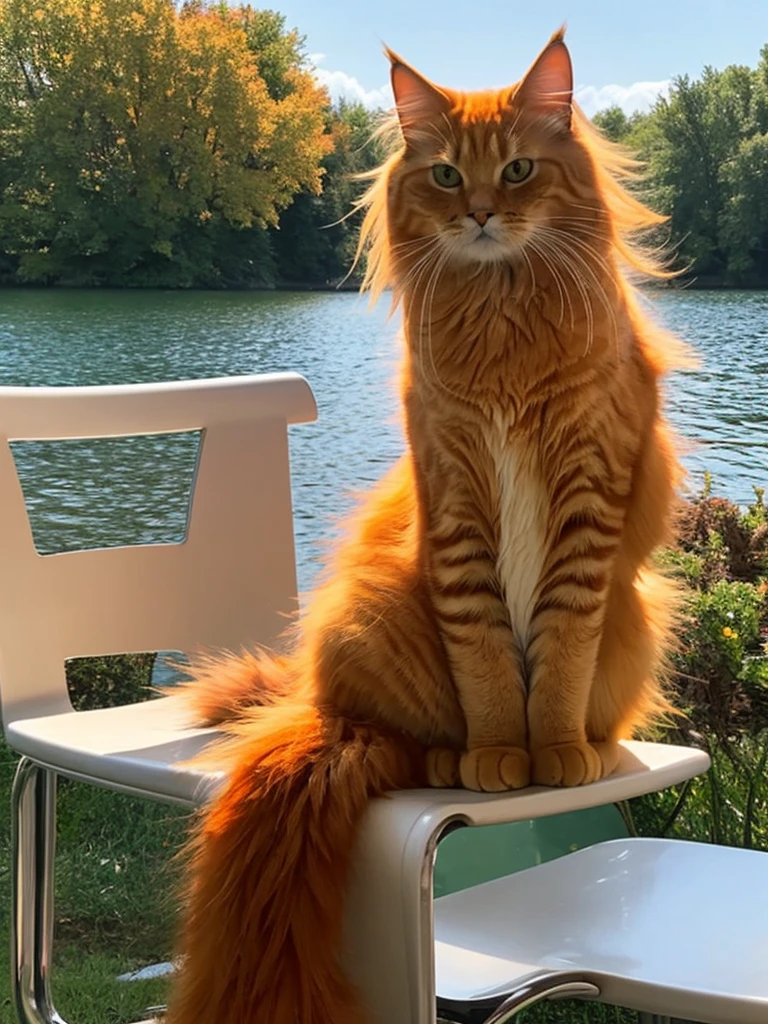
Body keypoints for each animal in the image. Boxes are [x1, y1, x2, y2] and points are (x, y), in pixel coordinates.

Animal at [163, 28, 692, 1024]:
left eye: (519, 169)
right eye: (446, 175)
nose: (481, 212)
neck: (503, 309)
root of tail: (318, 705)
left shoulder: (586, 513)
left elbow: (558, 657)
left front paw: (555, 752)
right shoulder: (455, 507)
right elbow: (485, 662)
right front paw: (499, 752)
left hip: (634, 615)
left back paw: (592, 748)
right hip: (376, 624)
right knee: (409, 739)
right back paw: (454, 755)